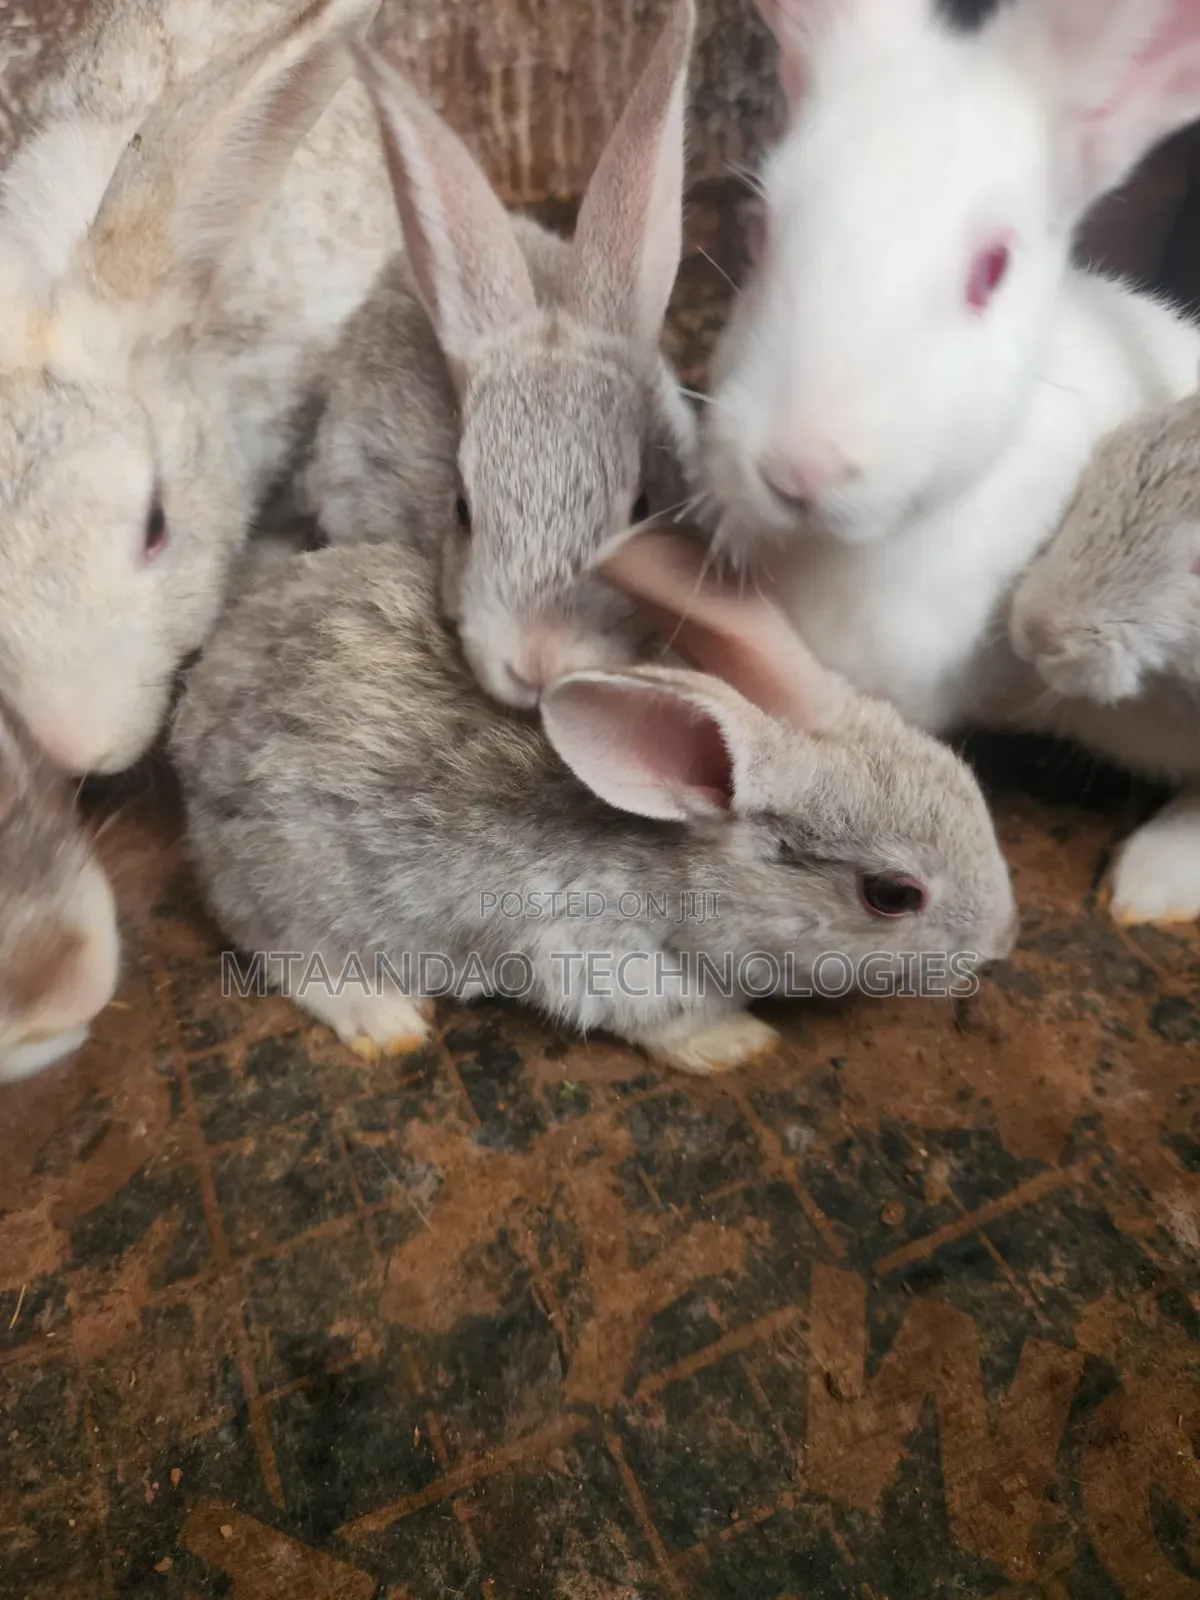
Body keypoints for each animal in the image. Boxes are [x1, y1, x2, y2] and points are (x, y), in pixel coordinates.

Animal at [169, 522, 1017, 1077]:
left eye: (967, 778)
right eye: (892, 894)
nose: (1001, 940)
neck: (680, 870)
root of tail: (197, 717)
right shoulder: (595, 955)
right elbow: (662, 1018)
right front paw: (736, 1044)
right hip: (293, 885)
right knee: (294, 961)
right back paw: (390, 1020)